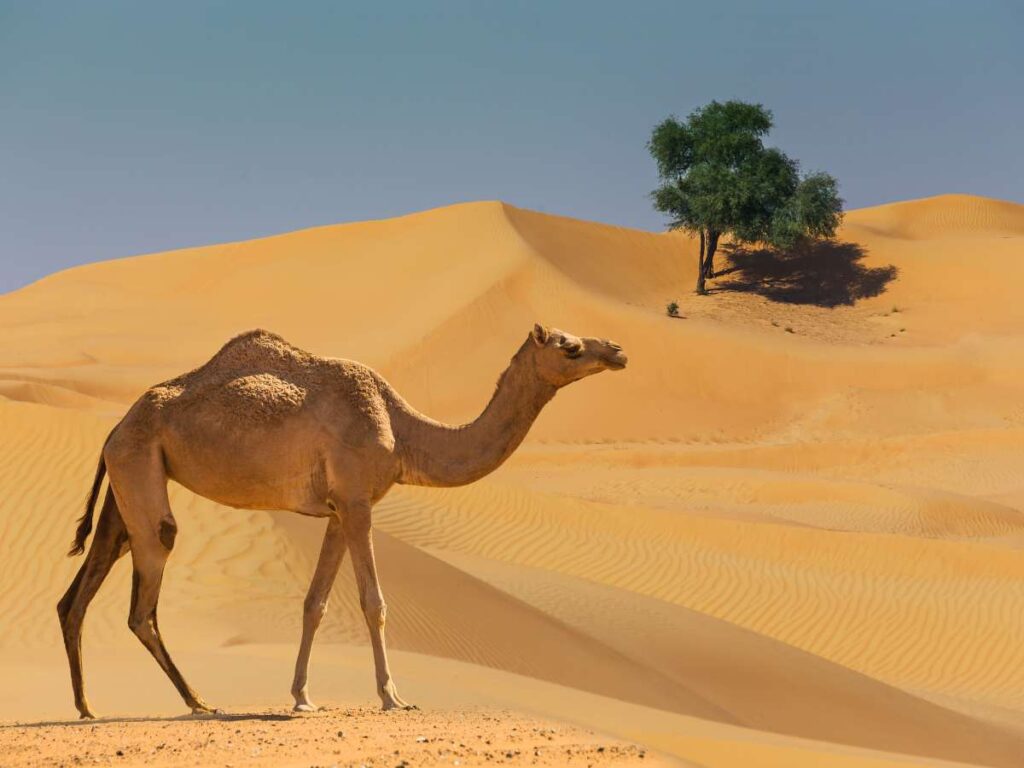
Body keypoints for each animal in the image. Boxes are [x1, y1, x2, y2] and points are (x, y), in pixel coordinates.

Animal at [57, 324, 627, 718]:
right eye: (569, 346)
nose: (617, 351)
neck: (403, 431)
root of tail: (115, 426)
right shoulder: (356, 500)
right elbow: (373, 602)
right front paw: (393, 697)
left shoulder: (337, 510)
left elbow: (315, 604)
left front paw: (302, 696)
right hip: (139, 467)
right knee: (144, 599)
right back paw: (197, 701)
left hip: (128, 478)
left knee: (78, 592)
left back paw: (88, 707)